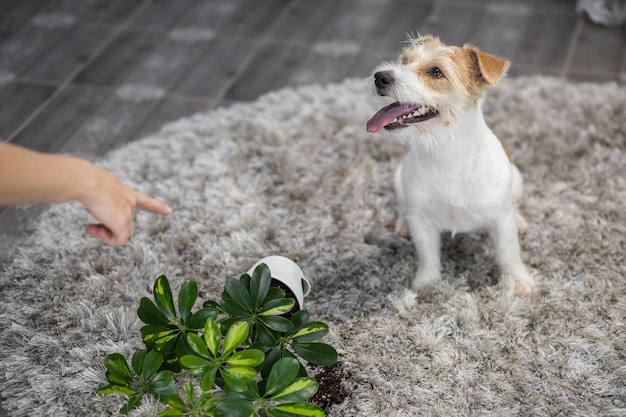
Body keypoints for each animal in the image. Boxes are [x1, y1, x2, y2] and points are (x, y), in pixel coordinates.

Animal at [366, 35, 536, 296]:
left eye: (436, 72)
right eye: (404, 61)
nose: (380, 77)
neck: (444, 151)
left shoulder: (501, 221)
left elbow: (509, 254)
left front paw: (519, 281)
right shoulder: (422, 222)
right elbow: (427, 256)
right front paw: (425, 285)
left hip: (516, 179)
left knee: (514, 204)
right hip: (398, 180)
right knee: (404, 207)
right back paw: (403, 222)